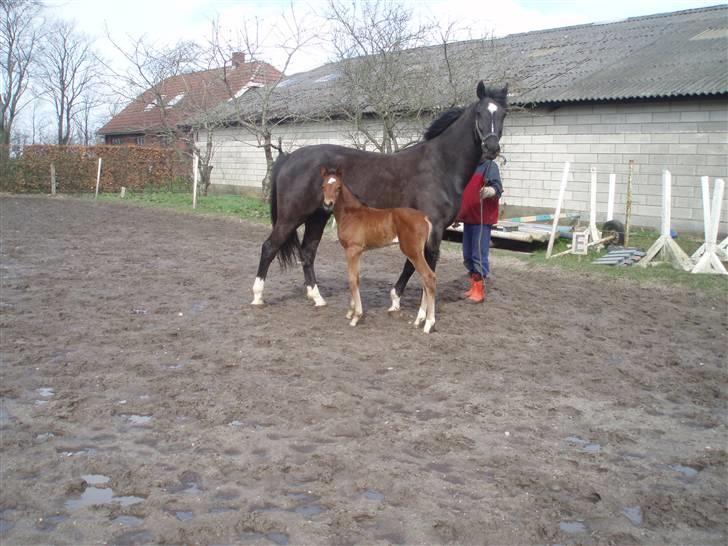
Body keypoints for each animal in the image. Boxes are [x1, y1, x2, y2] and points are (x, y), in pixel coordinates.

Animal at [253, 82, 510, 308]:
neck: (440, 165)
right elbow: (423, 264)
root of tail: (289, 158)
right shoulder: (433, 227)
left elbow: (412, 264)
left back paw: (317, 298)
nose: (491, 148)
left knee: (307, 252)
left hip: (318, 215)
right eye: (479, 113)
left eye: (503, 115)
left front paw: (397, 299)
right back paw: (258, 297)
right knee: (269, 247)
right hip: (292, 216)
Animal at [320, 166, 436, 332]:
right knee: (425, 280)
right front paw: (350, 312)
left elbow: (352, 280)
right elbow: (355, 278)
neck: (351, 214)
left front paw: (356, 317)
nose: (327, 204)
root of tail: (424, 218)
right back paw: (418, 320)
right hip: (419, 253)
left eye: (338, 187)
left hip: (412, 252)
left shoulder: (353, 250)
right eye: (323, 186)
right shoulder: (356, 252)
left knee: (428, 277)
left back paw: (428, 324)